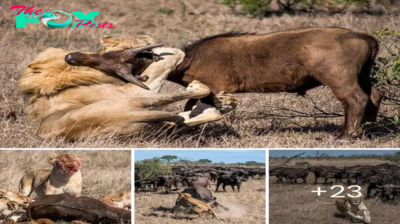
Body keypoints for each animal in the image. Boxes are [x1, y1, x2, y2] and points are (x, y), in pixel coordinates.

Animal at [18, 35, 236, 140]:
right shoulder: (135, 89)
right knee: (193, 107)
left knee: (195, 116)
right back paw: (207, 93)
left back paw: (224, 103)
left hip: (157, 124)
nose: (71, 56)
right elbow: (172, 55)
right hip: (138, 100)